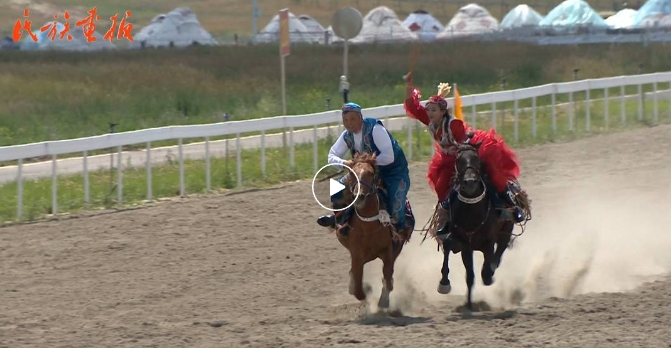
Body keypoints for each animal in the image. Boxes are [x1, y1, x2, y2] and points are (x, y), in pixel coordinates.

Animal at [334, 154, 412, 308]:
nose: (359, 197)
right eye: (352, 173)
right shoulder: (356, 256)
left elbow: (387, 276)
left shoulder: (388, 252)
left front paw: (384, 301)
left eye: (370, 173)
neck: (367, 227)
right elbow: (358, 288)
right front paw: (365, 289)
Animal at [440, 143, 516, 312]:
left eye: (476, 158)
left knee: (500, 250)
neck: (472, 211)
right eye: (458, 160)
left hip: (506, 229)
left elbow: (486, 268)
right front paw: (468, 304)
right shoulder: (464, 245)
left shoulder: (488, 242)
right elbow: (470, 276)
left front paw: (488, 275)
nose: (470, 182)